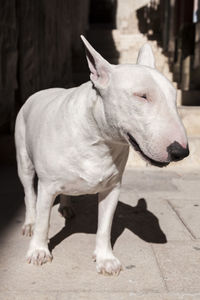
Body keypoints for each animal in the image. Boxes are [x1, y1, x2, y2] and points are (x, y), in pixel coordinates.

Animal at [14, 35, 189, 274]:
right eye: (142, 96)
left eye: (174, 98)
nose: (181, 151)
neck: (98, 141)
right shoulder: (48, 185)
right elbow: (44, 221)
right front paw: (39, 251)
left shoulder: (112, 187)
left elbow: (105, 225)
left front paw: (106, 259)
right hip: (24, 159)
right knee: (29, 194)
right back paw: (30, 222)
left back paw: (67, 206)